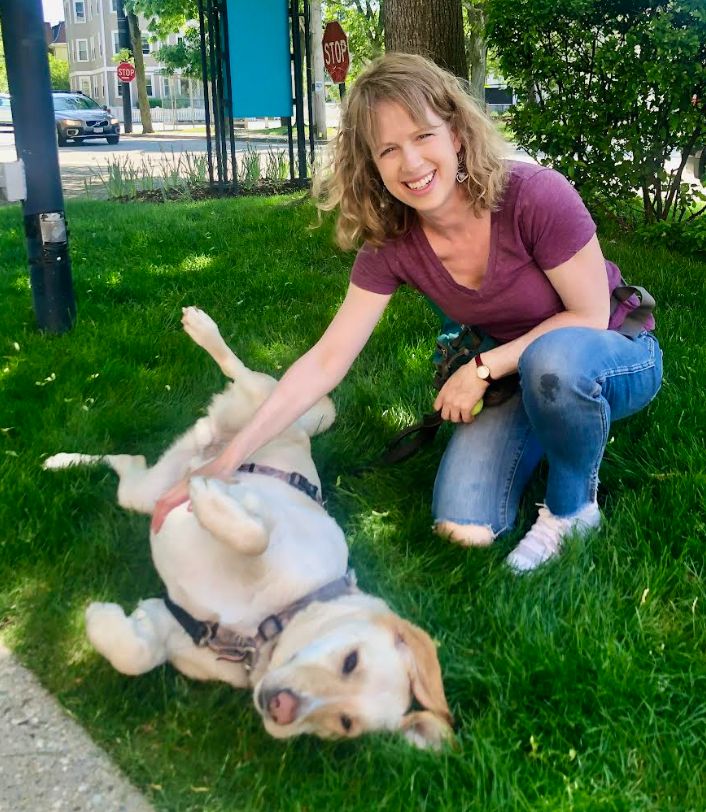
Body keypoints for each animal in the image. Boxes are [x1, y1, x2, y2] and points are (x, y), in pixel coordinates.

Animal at [44, 310, 452, 748]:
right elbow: (255, 536)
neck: (267, 624)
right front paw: (207, 496)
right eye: (350, 661)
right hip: (263, 400)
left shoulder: (170, 620)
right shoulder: (269, 511)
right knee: (239, 369)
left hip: (146, 490)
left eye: (344, 724)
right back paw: (201, 329)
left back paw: (61, 461)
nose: (281, 708)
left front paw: (101, 620)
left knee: (128, 462)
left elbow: (136, 656)